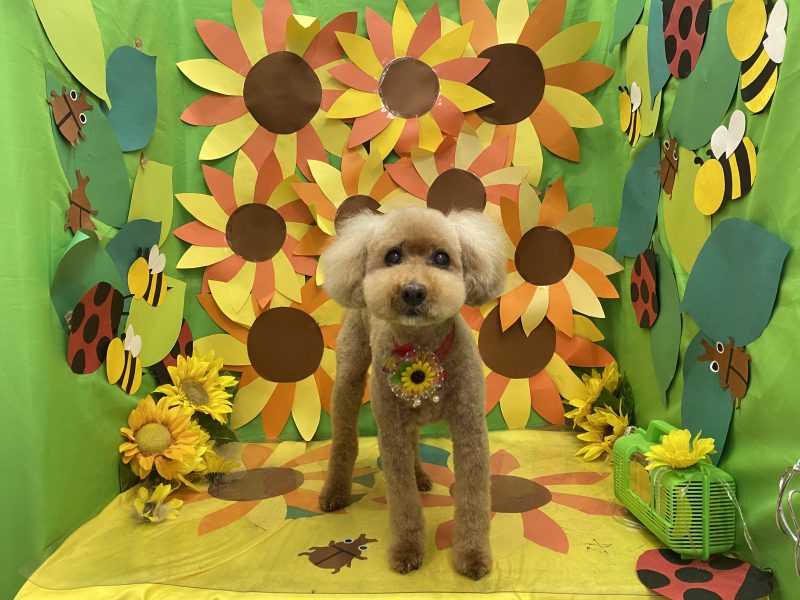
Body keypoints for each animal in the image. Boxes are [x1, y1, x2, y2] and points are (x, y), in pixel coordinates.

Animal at [318, 206, 506, 579]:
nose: (413, 291)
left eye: (441, 257)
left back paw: (420, 475)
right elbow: (402, 500)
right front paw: (406, 550)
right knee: (344, 437)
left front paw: (473, 556)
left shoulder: (470, 428)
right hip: (350, 374)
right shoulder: (390, 430)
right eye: (393, 256)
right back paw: (335, 491)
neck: (423, 350)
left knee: (414, 439)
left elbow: (474, 497)